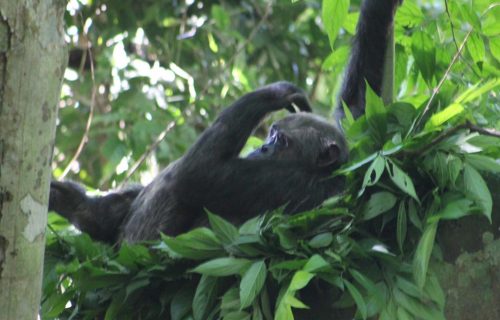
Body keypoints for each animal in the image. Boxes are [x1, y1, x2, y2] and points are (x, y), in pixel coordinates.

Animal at [48, 0, 400, 242]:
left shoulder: (282, 183)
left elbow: (198, 175)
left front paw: (277, 92)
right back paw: (84, 209)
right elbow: (359, 97)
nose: (262, 150)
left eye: (282, 141)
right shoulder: (353, 134)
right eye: (271, 134)